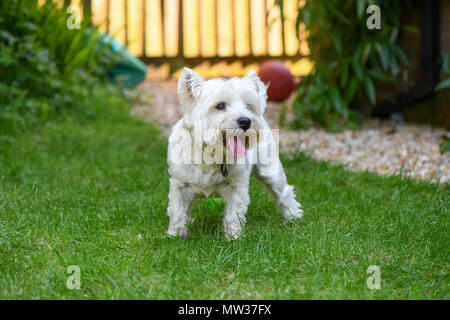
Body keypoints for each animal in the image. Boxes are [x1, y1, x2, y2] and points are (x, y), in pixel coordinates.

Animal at [166, 68, 302, 240]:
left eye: (248, 106)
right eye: (220, 105)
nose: (246, 121)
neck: (211, 156)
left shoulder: (237, 186)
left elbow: (234, 213)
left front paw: (234, 237)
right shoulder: (179, 185)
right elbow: (177, 210)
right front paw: (175, 234)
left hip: (270, 171)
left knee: (284, 192)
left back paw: (293, 216)